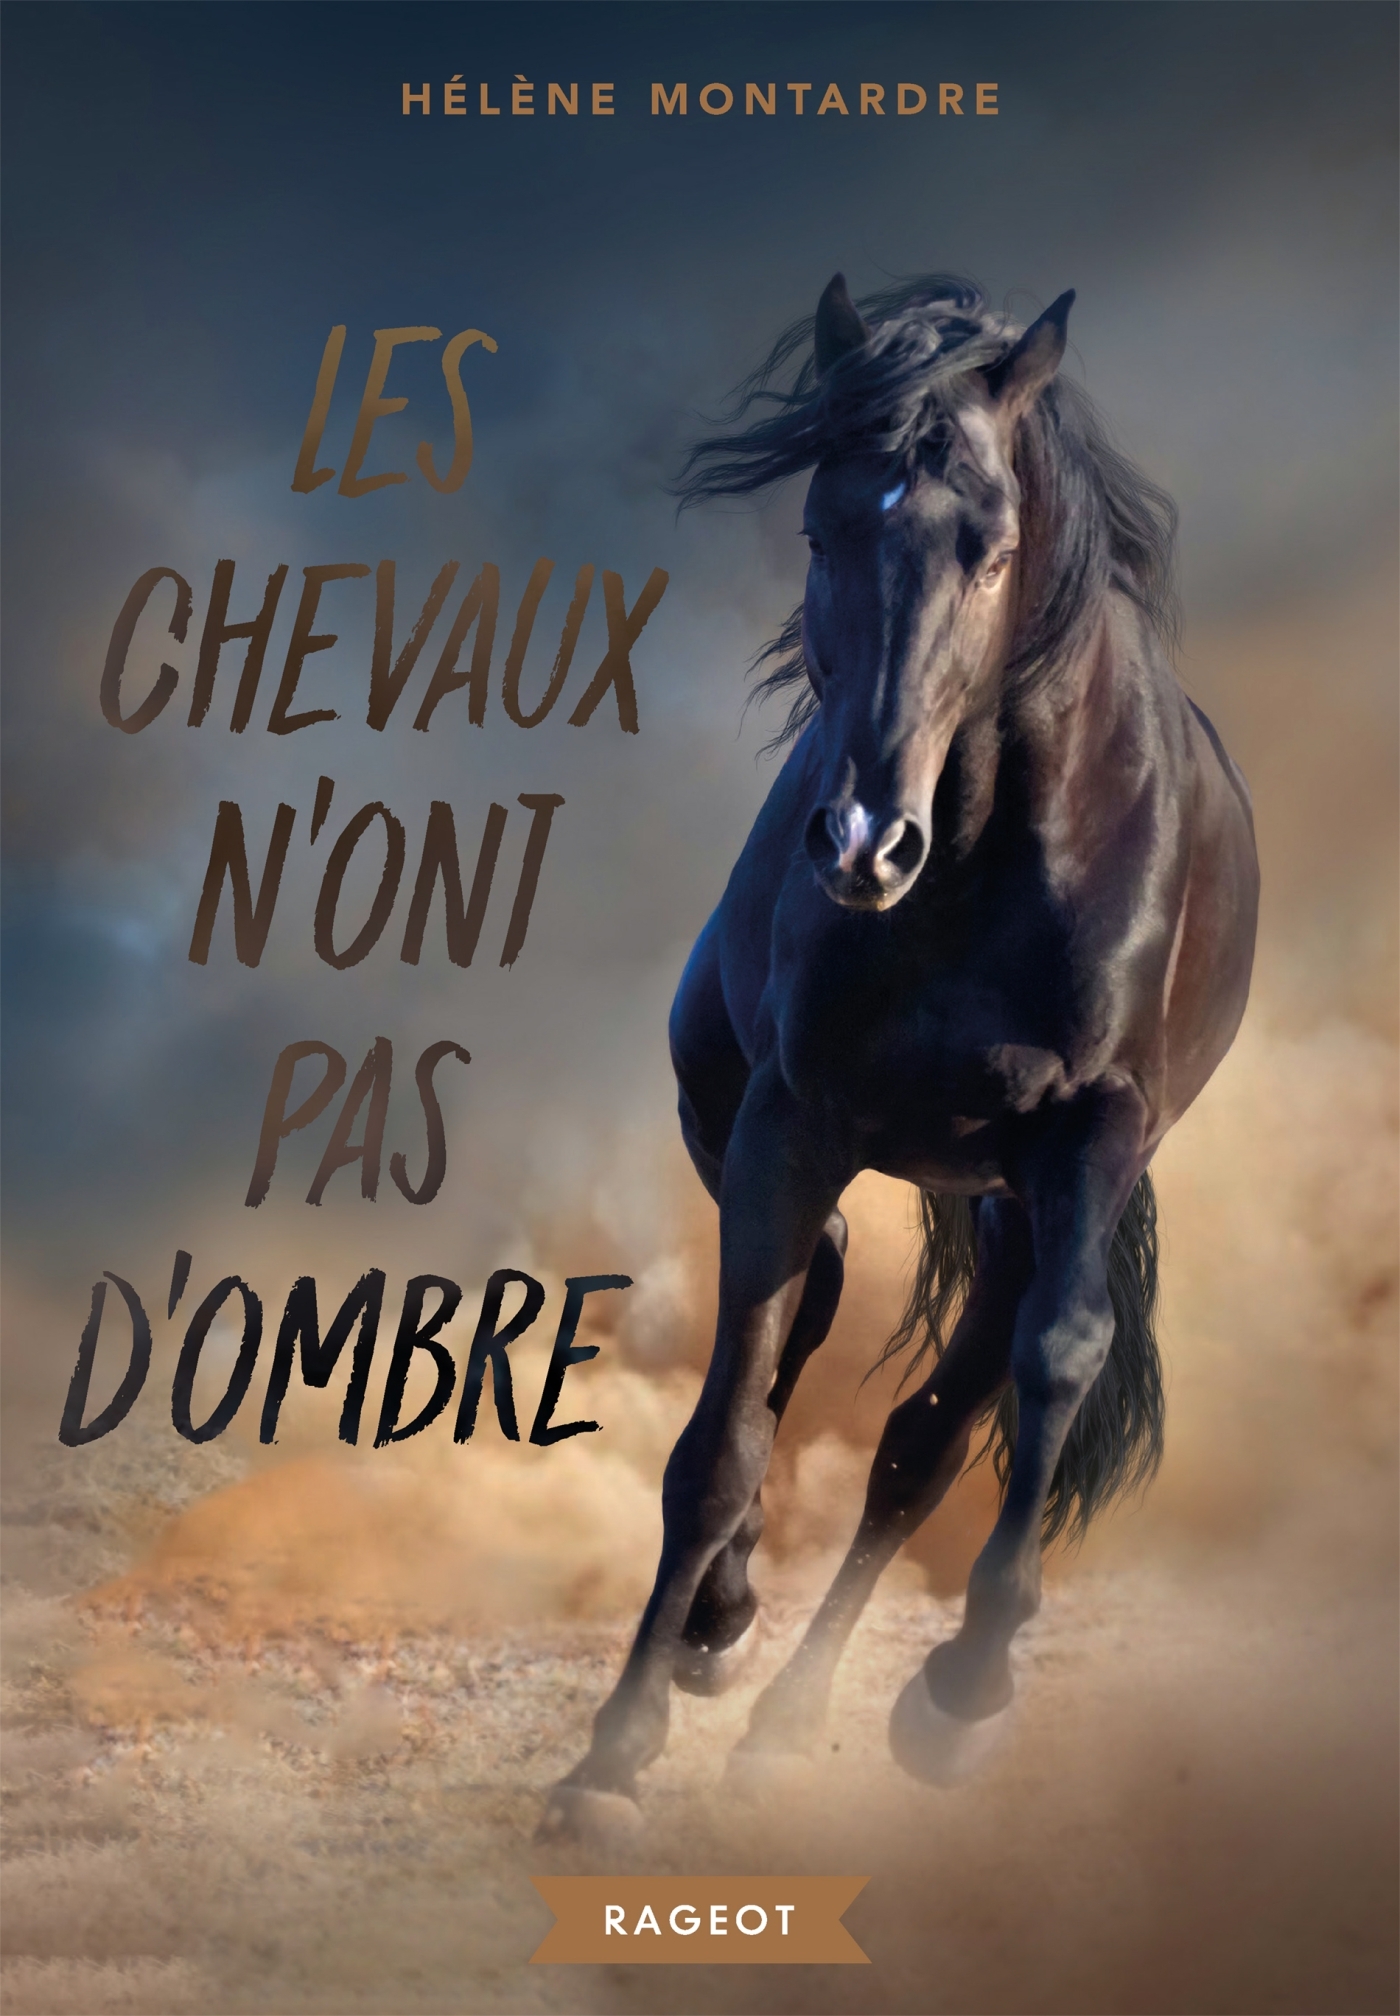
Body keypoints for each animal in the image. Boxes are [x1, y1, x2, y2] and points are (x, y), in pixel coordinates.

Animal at [541, 272, 1259, 1839]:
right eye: (823, 531)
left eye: (989, 549)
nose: (866, 844)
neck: (988, 853)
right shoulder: (789, 1125)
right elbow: (719, 1442)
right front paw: (611, 1753)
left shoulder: (1093, 1136)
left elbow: (1054, 1361)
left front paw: (966, 1692)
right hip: (763, 1138)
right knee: (801, 1324)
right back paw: (721, 1638)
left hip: (1009, 1210)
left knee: (923, 1443)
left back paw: (792, 1723)